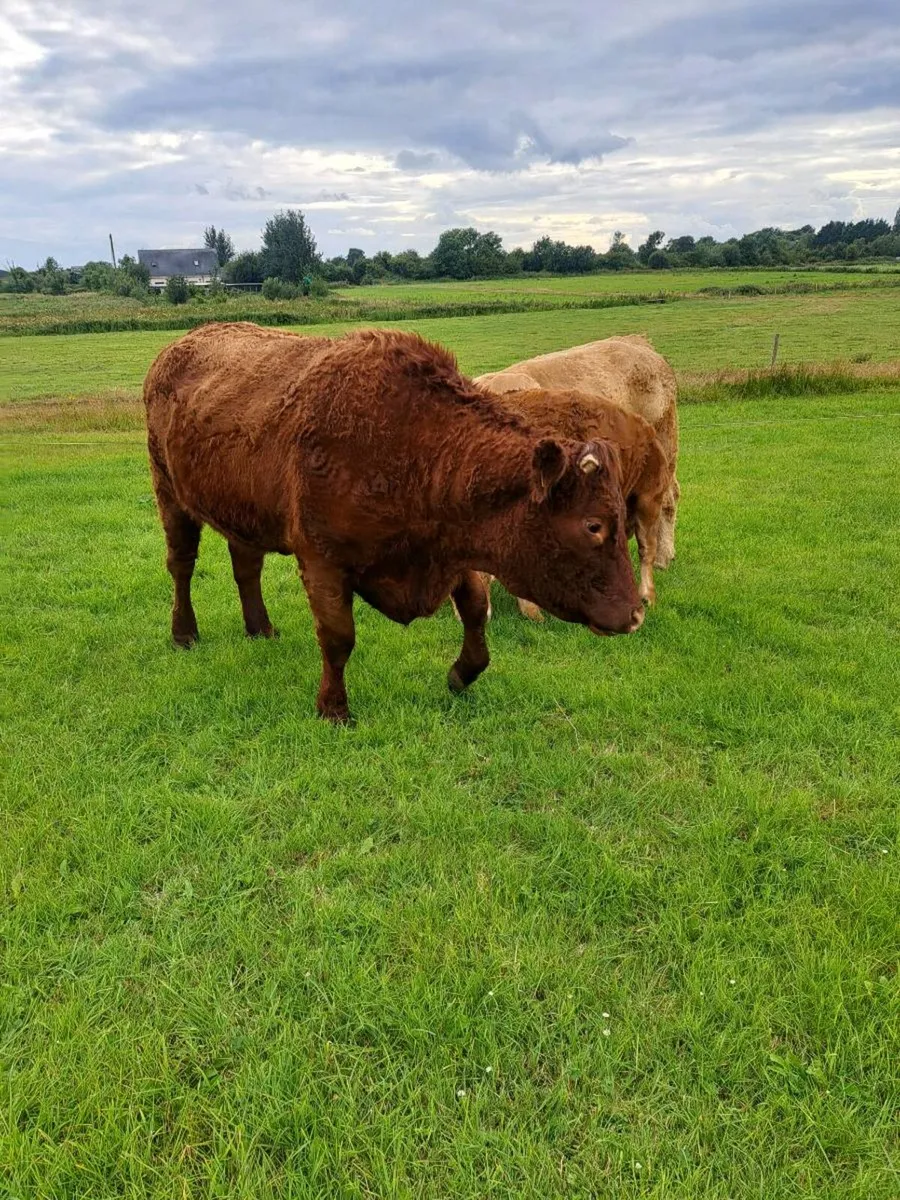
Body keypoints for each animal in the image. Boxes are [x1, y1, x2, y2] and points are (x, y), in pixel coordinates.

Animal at [144, 323, 644, 722]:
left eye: (623, 517)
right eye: (593, 526)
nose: (635, 613)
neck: (412, 444)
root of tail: (177, 347)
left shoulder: (450, 549)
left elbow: (475, 607)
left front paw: (462, 673)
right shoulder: (322, 559)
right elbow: (338, 636)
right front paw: (333, 708)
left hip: (242, 512)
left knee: (245, 565)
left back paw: (260, 628)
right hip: (170, 495)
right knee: (182, 566)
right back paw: (184, 633)